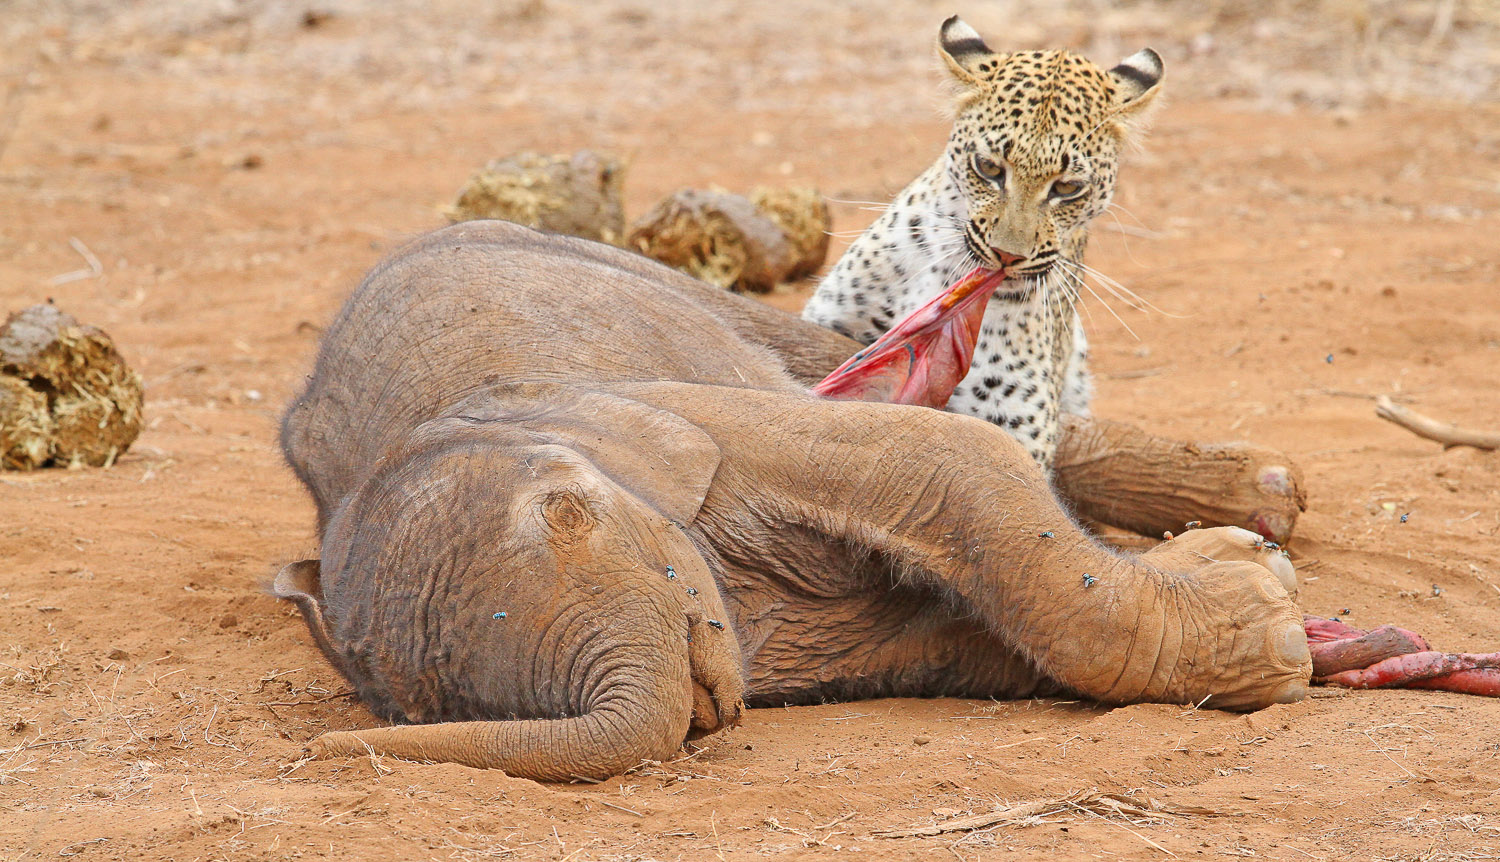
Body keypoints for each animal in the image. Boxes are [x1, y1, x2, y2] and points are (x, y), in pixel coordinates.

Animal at [275, 220, 1311, 781]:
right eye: (466, 703)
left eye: (571, 514)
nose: (322, 755)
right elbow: (965, 641)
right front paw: (1268, 619)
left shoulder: (695, 420)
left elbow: (949, 462)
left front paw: (1268, 602)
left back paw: (1268, 499)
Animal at [801, 16, 1163, 469]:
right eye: (989, 168)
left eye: (1068, 188)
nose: (1007, 255)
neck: (945, 278)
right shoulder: (829, 322)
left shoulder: (1016, 419)